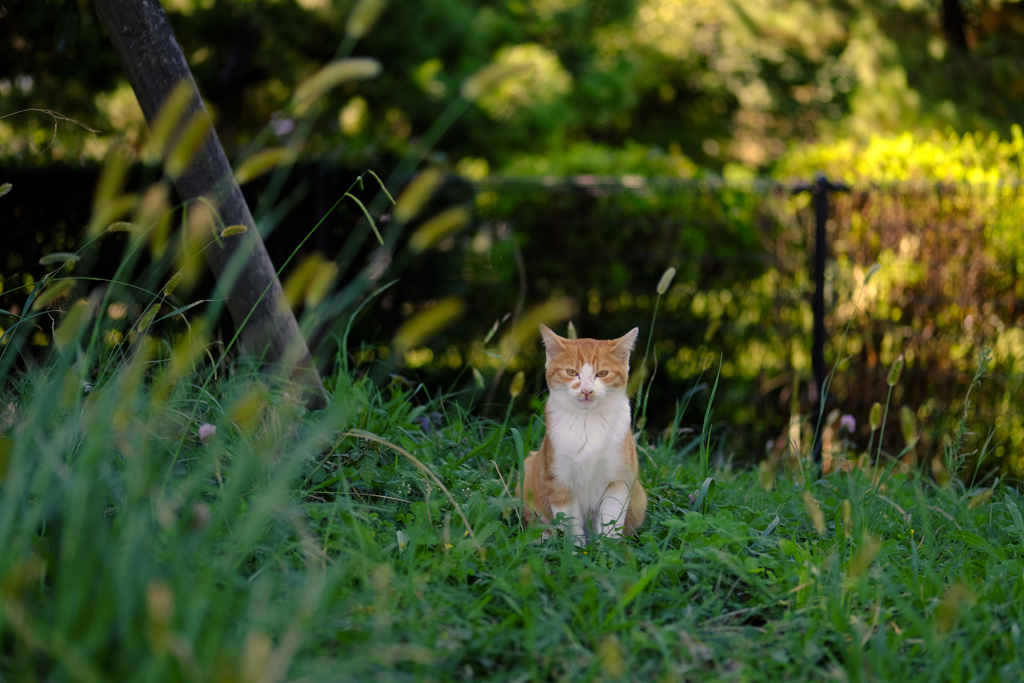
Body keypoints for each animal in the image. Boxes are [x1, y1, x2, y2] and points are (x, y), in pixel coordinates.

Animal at [516, 325, 651, 544]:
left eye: (602, 373)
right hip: (528, 470)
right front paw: (576, 549)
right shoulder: (559, 480)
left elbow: (611, 523)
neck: (588, 423)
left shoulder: (619, 480)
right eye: (572, 372)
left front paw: (608, 549)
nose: (586, 391)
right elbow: (570, 525)